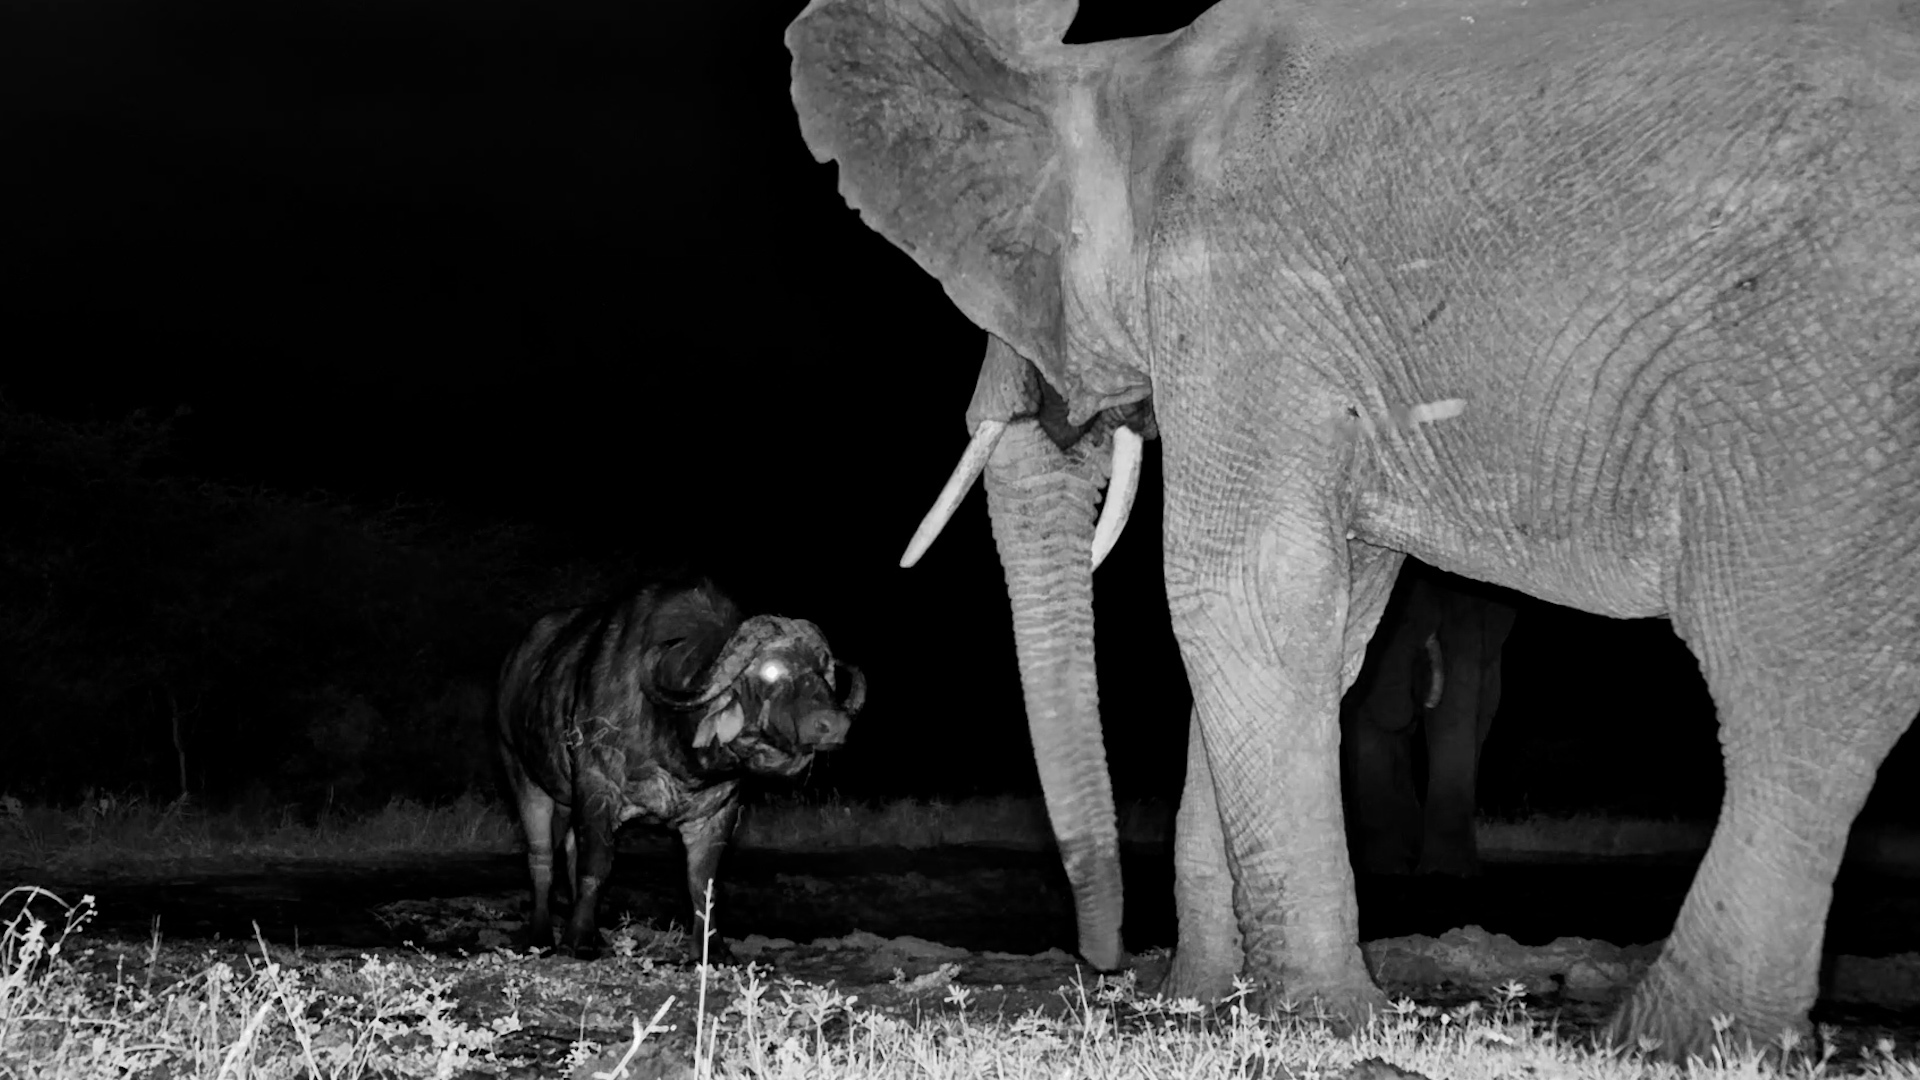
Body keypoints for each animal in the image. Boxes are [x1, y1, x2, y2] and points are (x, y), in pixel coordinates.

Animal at [496, 573, 864, 959]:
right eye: (771, 669)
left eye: (823, 671)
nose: (833, 724)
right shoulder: (597, 787)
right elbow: (595, 865)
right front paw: (579, 941)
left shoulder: (719, 810)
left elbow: (703, 883)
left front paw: (713, 949)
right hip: (523, 776)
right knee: (541, 860)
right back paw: (541, 936)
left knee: (567, 852)